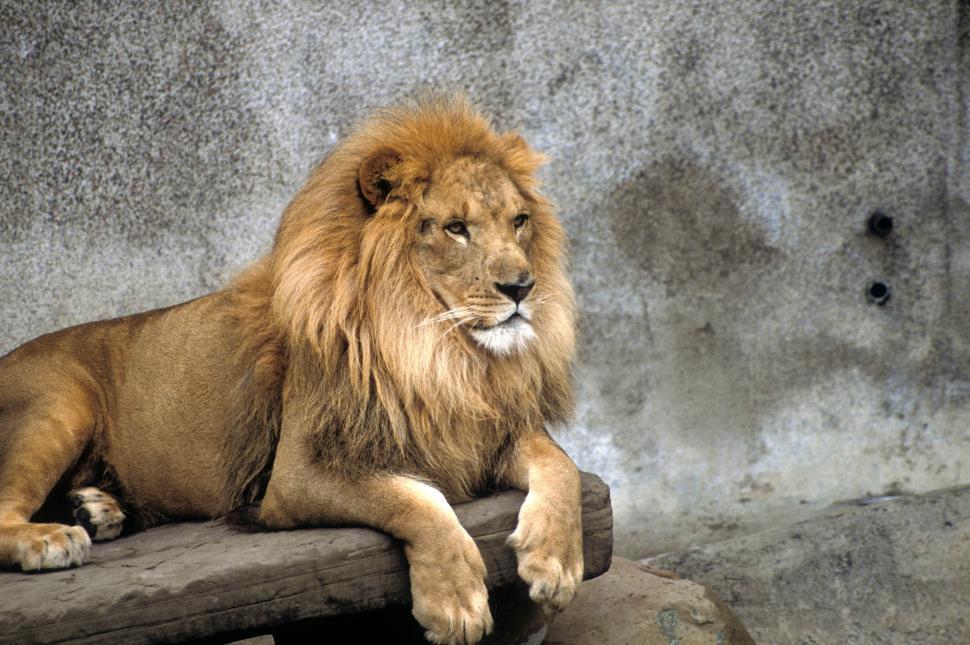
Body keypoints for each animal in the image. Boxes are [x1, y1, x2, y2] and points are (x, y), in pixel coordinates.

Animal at [0, 94, 581, 644]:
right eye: (456, 228)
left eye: (519, 222)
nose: (522, 287)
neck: (437, 351)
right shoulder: (299, 474)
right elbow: (416, 501)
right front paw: (456, 601)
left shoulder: (485, 431)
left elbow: (561, 466)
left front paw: (554, 562)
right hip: (58, 405)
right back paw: (52, 537)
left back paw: (95, 508)